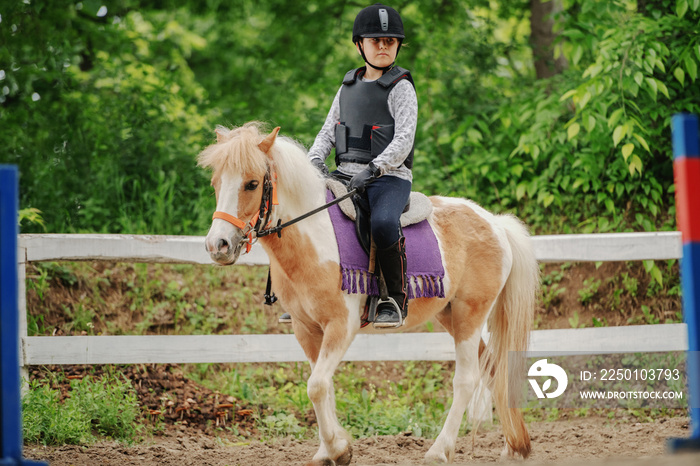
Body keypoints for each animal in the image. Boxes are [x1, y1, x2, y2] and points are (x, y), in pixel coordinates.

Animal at [200, 122, 540, 464]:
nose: (218, 246)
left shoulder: (341, 326)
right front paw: (327, 450)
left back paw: (439, 450)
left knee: (467, 380)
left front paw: (339, 450)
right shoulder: (305, 329)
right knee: (492, 368)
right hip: (450, 315)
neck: (315, 239)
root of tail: (494, 223)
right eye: (215, 182)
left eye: (252, 184)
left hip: (471, 313)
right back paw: (513, 446)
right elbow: (324, 386)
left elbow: (316, 385)